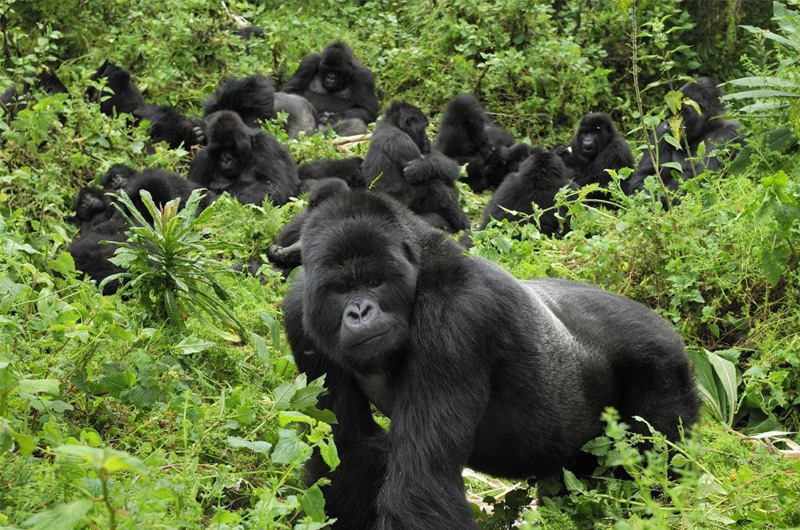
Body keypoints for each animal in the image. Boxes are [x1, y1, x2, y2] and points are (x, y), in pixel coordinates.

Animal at [284, 190, 696, 528]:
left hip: (664, 365)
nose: (359, 312)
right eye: (340, 288)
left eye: (374, 281)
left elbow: (419, 488)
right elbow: (347, 452)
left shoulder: (455, 319)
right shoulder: (301, 313)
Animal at [362, 100, 468, 231]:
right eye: (423, 128)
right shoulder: (401, 141)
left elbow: (445, 164)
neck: (393, 124)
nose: (428, 140)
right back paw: (461, 222)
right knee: (435, 186)